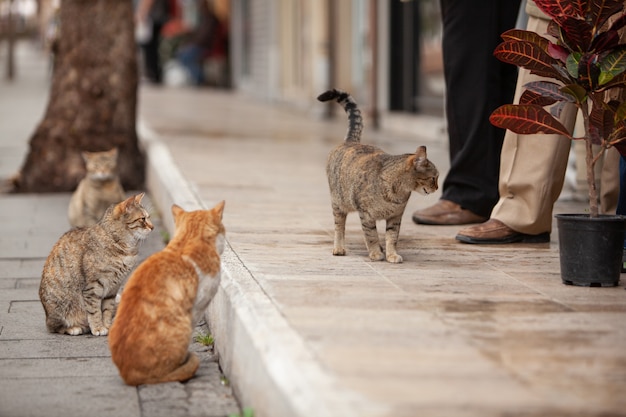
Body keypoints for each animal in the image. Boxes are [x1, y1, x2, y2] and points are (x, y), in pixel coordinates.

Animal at [40, 193, 152, 334]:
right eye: (143, 219)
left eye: (149, 217)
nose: (152, 227)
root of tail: (46, 315)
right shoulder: (93, 287)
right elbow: (94, 311)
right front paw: (98, 327)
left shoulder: (113, 288)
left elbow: (107, 309)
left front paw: (107, 326)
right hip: (60, 307)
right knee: (54, 327)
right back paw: (74, 328)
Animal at [316, 89, 438, 262]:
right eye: (434, 178)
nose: (437, 188)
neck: (398, 192)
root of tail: (351, 142)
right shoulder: (366, 215)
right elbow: (371, 235)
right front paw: (375, 253)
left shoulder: (396, 217)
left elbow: (392, 237)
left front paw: (391, 254)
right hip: (338, 203)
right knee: (339, 226)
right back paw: (339, 248)